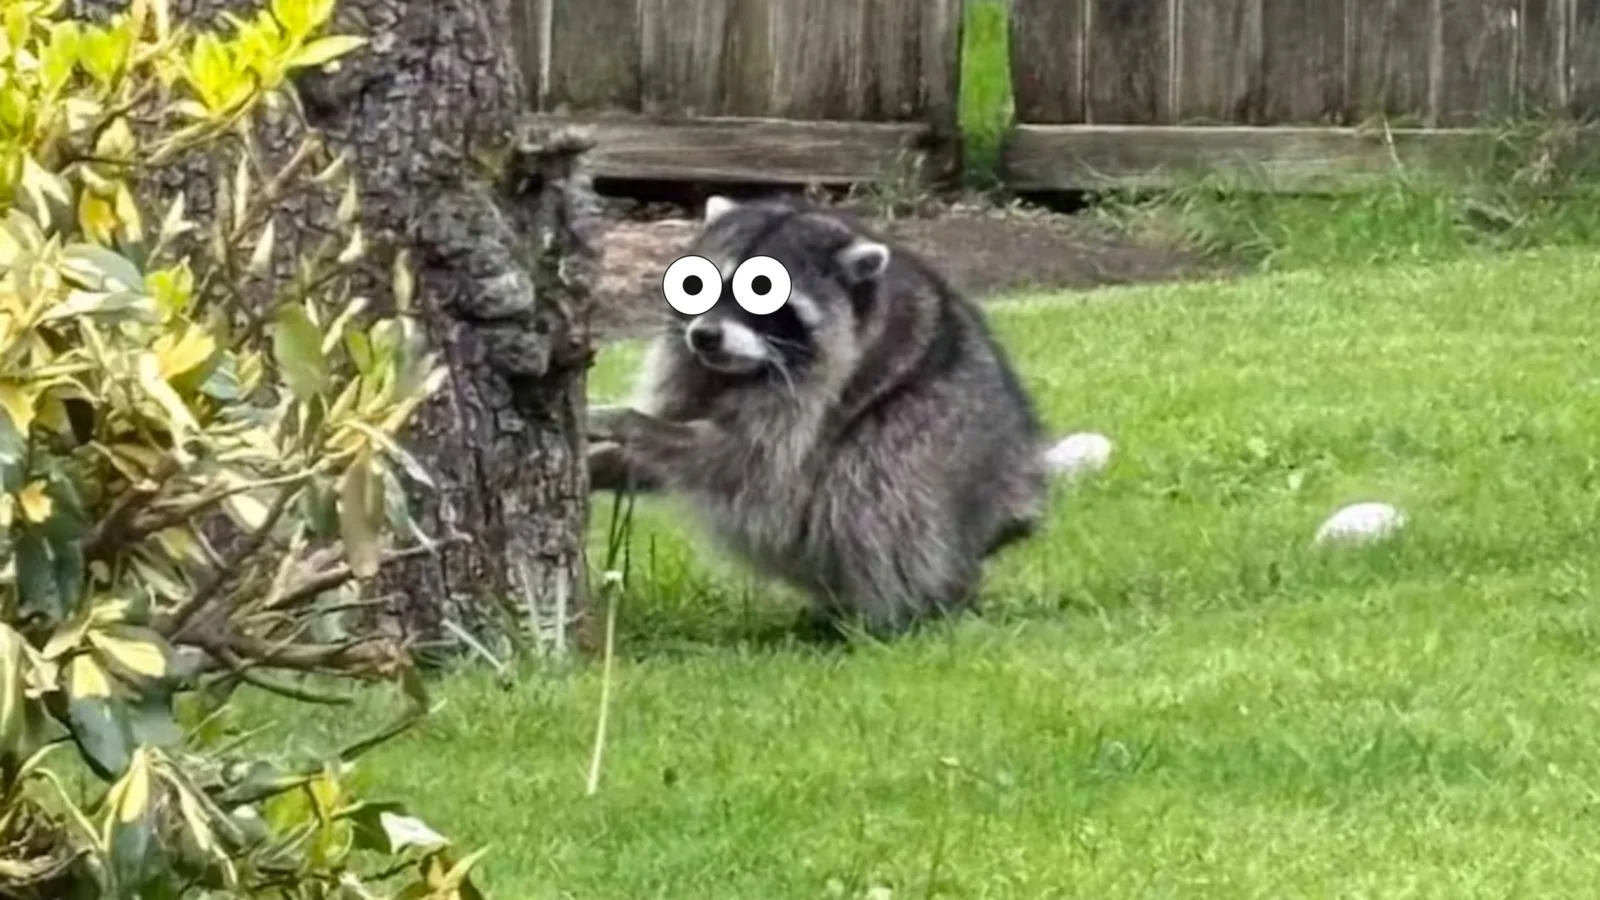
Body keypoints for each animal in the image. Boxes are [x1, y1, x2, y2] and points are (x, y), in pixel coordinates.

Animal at [587, 195, 1053, 636]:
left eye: (762, 293)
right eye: (695, 285)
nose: (705, 336)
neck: (743, 370)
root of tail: (1014, 499)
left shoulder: (818, 392)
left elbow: (743, 462)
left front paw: (631, 423)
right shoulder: (690, 366)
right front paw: (608, 461)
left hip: (943, 440)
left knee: (877, 480)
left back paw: (893, 612)